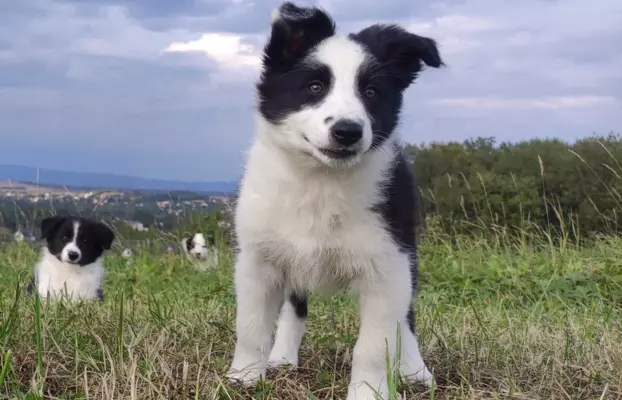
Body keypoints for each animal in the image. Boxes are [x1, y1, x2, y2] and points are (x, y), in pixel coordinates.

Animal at [228, 3, 444, 400]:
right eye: (314, 87)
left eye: (371, 92)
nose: (347, 131)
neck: (321, 181)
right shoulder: (258, 260)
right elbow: (249, 326)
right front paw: (244, 377)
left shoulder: (387, 267)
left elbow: (376, 344)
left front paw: (369, 391)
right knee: (295, 306)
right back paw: (283, 357)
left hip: (407, 255)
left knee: (405, 319)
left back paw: (415, 370)